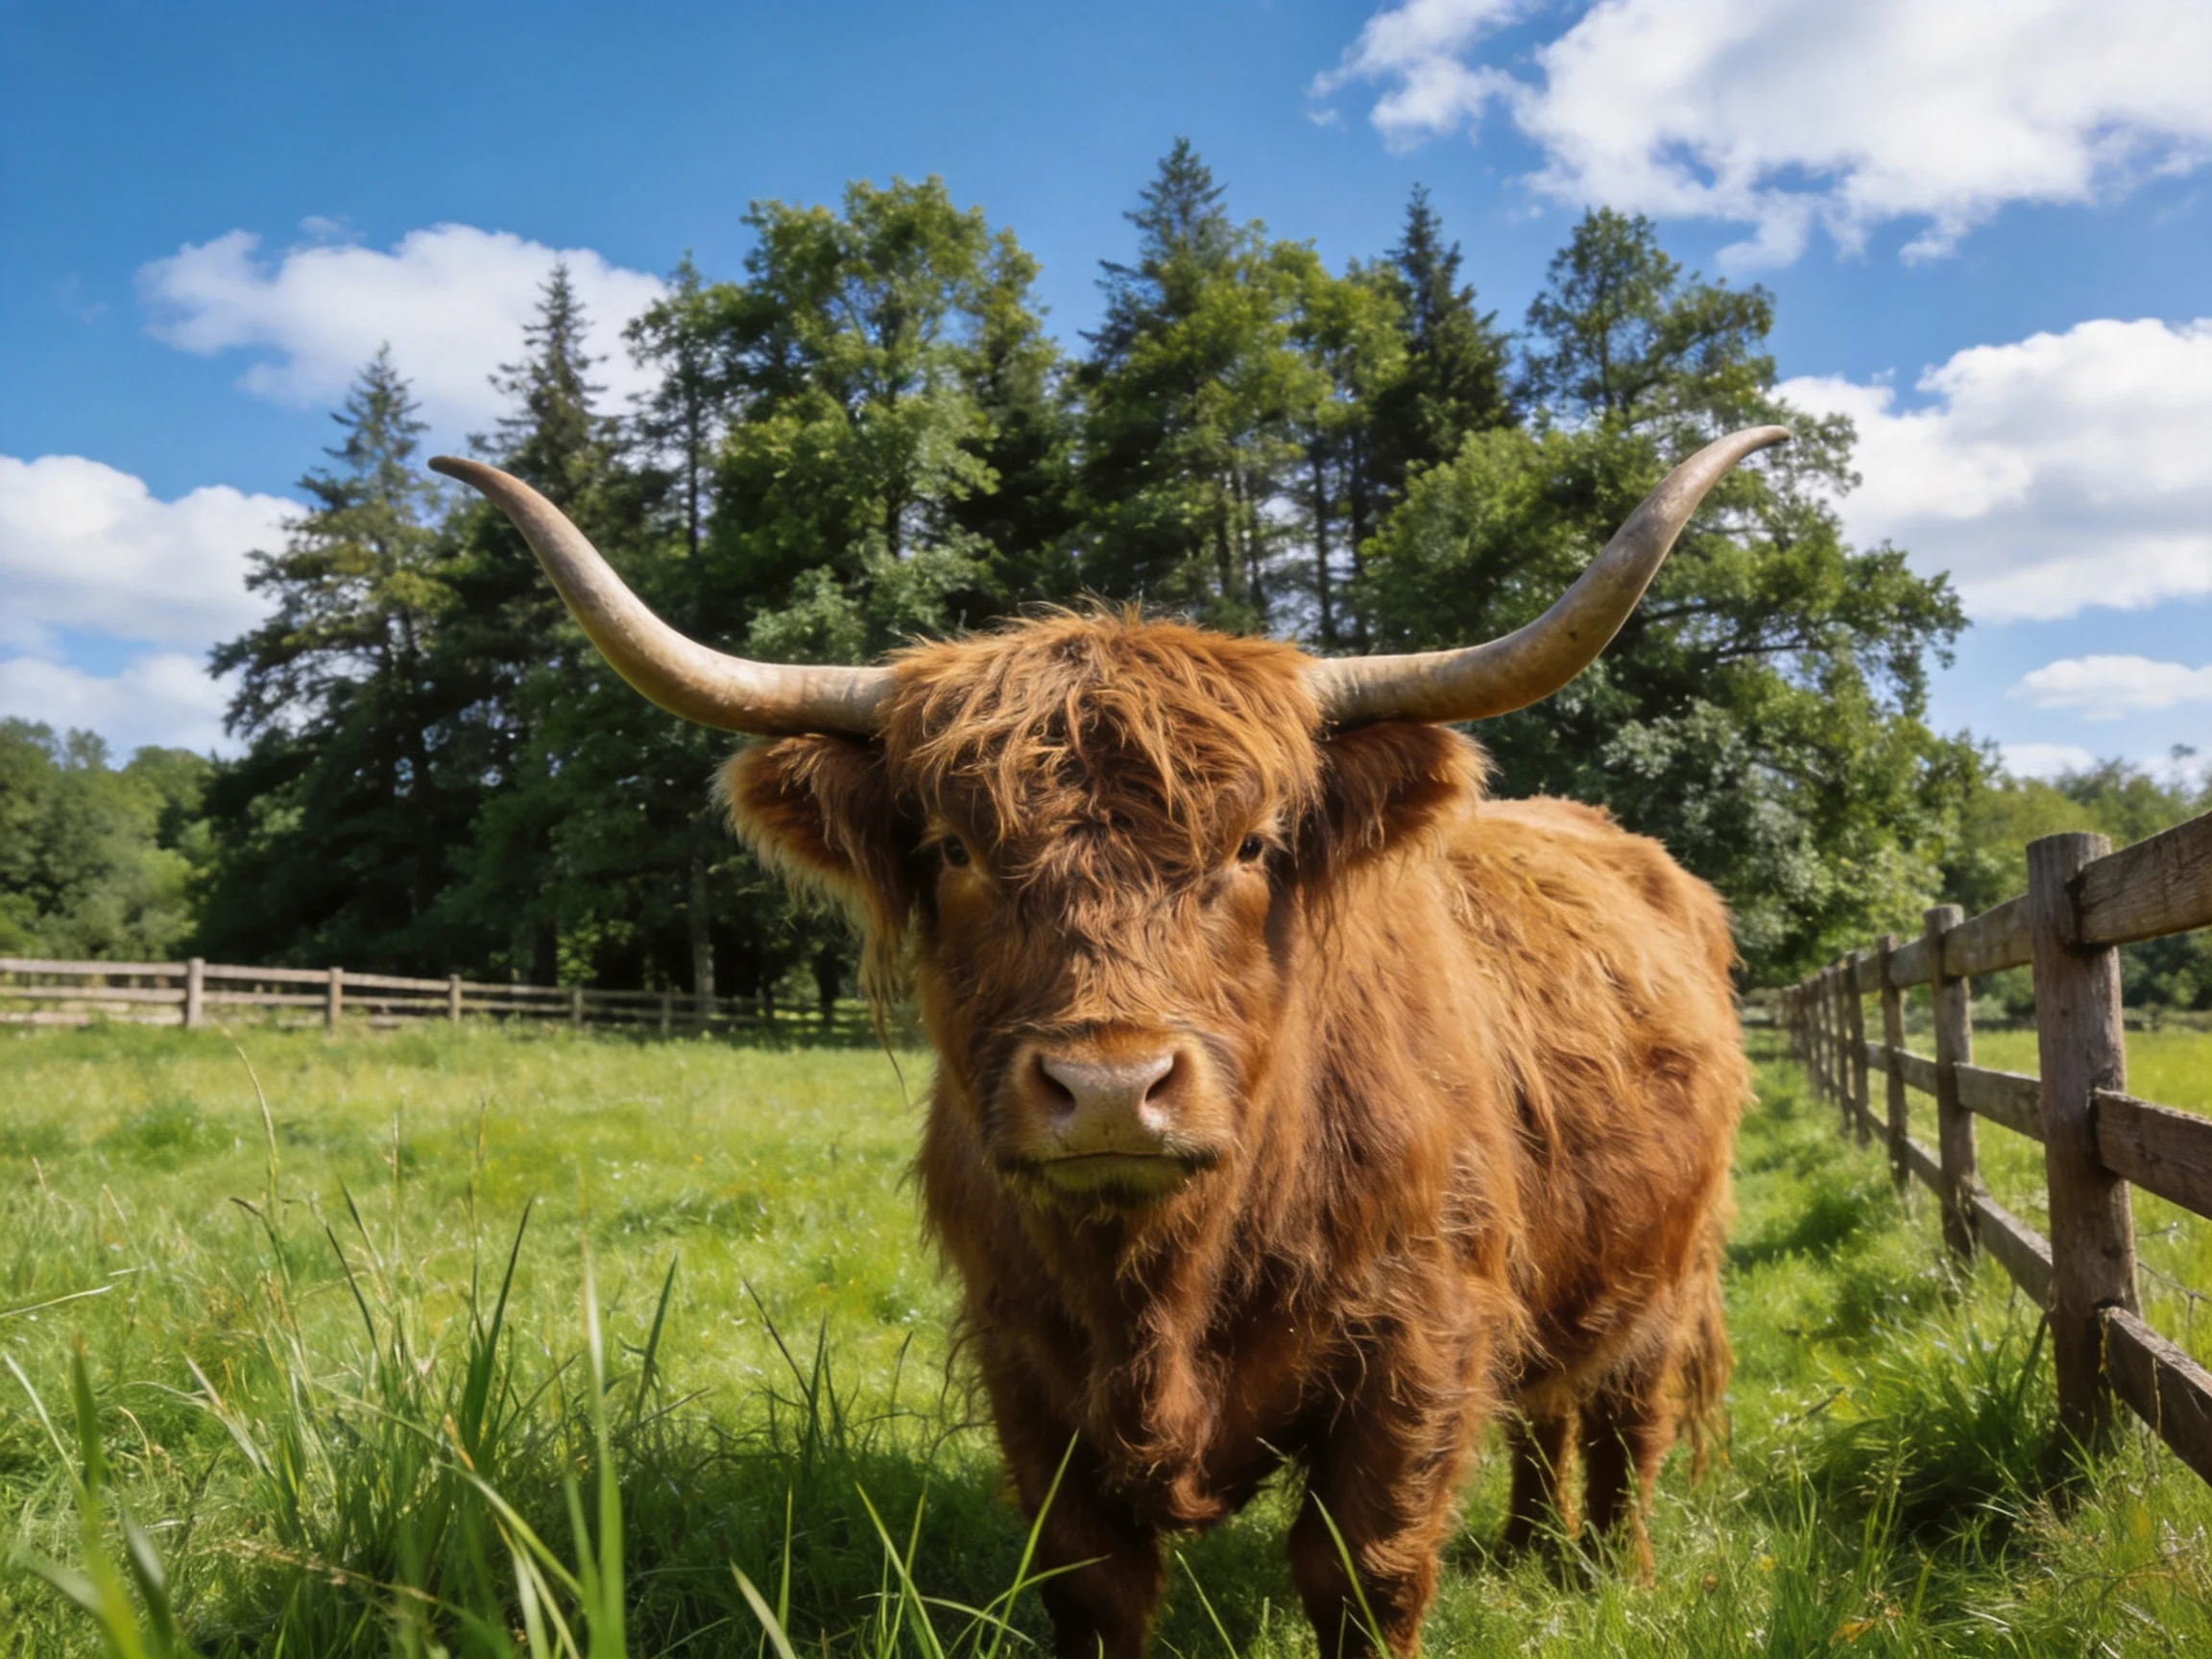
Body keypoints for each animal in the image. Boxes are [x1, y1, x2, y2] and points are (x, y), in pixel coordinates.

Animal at [432, 426, 1779, 1658]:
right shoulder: (1028, 1367)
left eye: (1253, 844)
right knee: (1545, 1412)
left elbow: (1366, 1572)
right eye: (956, 849)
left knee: (1625, 1421)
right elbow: (1091, 1584)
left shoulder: (1419, 1338)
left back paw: (1604, 1578)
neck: (1163, 1287)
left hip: (1669, 1268)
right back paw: (1527, 1551)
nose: (1111, 1089)